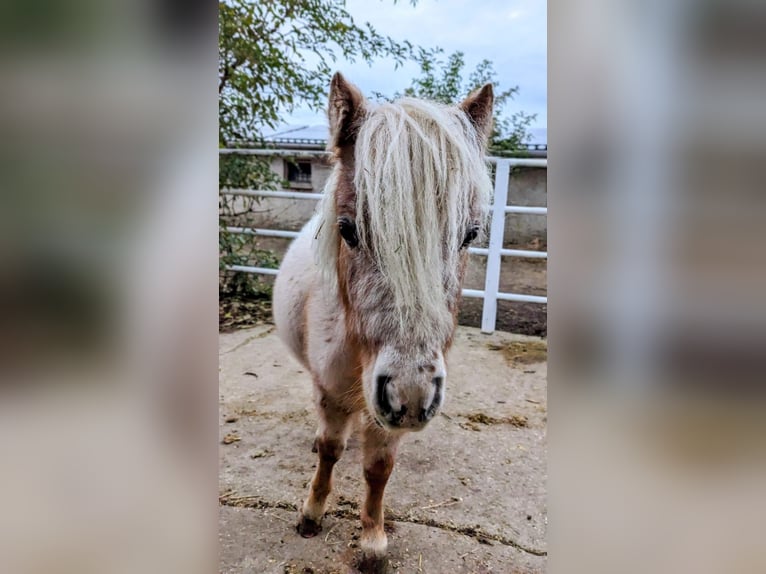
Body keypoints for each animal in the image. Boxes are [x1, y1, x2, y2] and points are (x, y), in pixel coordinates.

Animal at [273, 72, 494, 566]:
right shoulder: (330, 393)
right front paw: (312, 512)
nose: (409, 395)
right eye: (347, 229)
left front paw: (373, 540)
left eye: (470, 234)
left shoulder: (385, 418)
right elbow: (330, 451)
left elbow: (378, 469)